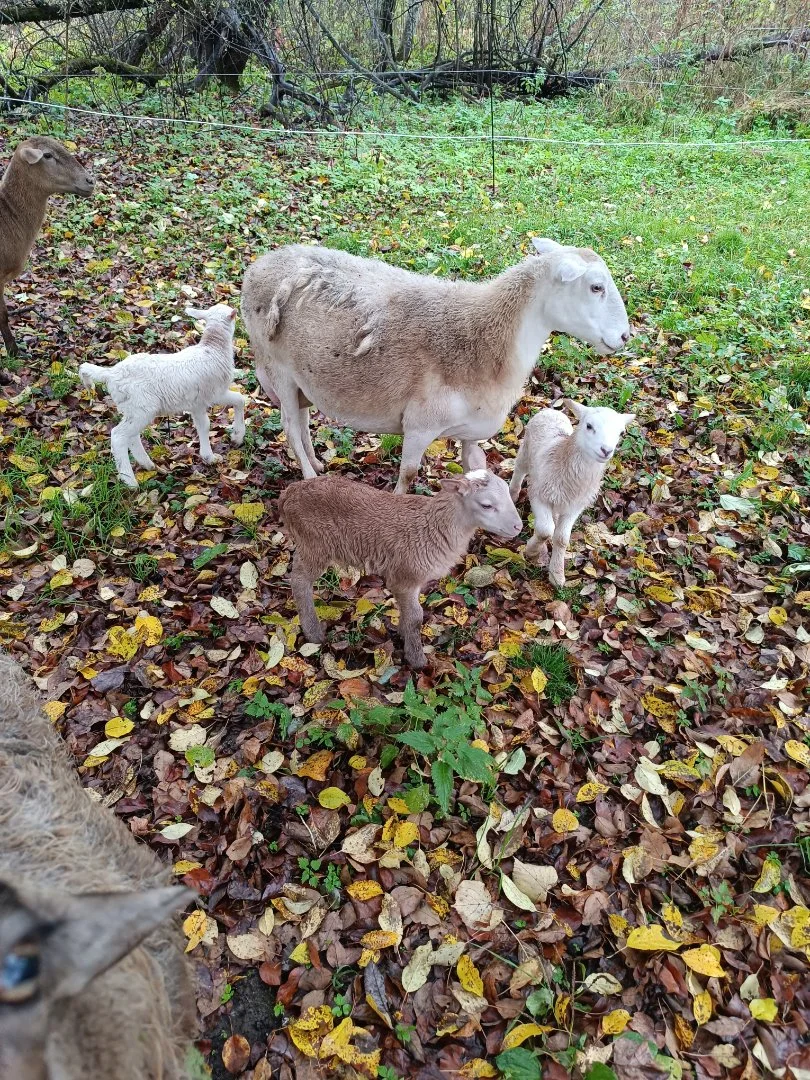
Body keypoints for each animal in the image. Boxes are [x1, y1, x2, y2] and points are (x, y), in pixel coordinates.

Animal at [79, 303, 245, 489]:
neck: (213, 348)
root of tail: (110, 373)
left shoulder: (197, 403)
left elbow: (205, 425)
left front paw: (211, 455)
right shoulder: (215, 393)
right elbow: (238, 401)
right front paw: (234, 439)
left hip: (132, 408)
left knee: (131, 436)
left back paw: (147, 464)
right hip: (141, 407)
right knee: (118, 436)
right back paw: (130, 481)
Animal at [241, 238, 631, 493]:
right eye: (596, 287)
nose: (626, 336)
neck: (485, 338)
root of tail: (257, 267)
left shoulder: (471, 430)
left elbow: (477, 469)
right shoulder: (418, 425)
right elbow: (409, 475)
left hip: (302, 378)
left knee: (303, 420)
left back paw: (318, 463)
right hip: (277, 368)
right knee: (291, 427)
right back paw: (310, 477)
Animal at [278, 469, 522, 669]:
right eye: (486, 505)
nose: (518, 527)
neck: (434, 527)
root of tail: (288, 493)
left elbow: (409, 614)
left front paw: (403, 634)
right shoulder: (405, 576)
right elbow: (416, 617)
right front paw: (416, 658)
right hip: (315, 544)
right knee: (299, 581)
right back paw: (313, 632)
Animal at [509, 399, 635, 587]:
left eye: (621, 432)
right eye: (589, 426)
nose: (606, 450)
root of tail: (552, 411)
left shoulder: (574, 506)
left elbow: (561, 538)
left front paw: (557, 575)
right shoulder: (538, 493)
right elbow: (545, 530)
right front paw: (531, 551)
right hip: (525, 450)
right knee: (519, 470)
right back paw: (512, 494)